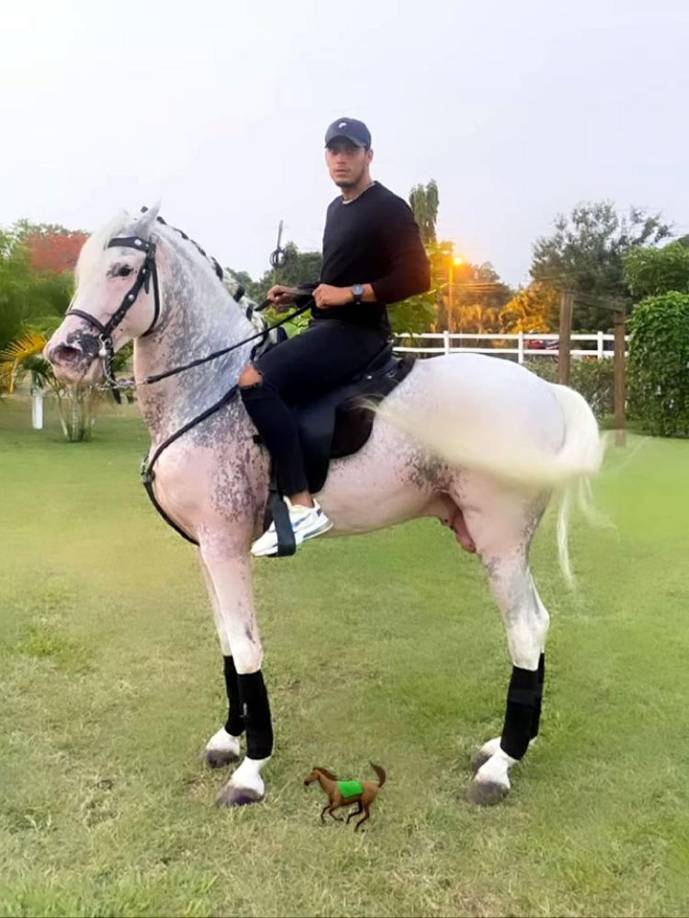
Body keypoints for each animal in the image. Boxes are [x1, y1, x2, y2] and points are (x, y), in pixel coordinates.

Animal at [46, 205, 603, 809]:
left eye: (123, 269)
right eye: (81, 270)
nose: (64, 354)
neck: (210, 387)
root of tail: (544, 392)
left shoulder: (225, 543)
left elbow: (246, 649)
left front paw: (252, 768)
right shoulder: (205, 548)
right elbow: (226, 642)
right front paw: (229, 738)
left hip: (500, 539)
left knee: (527, 629)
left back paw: (501, 765)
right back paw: (502, 748)